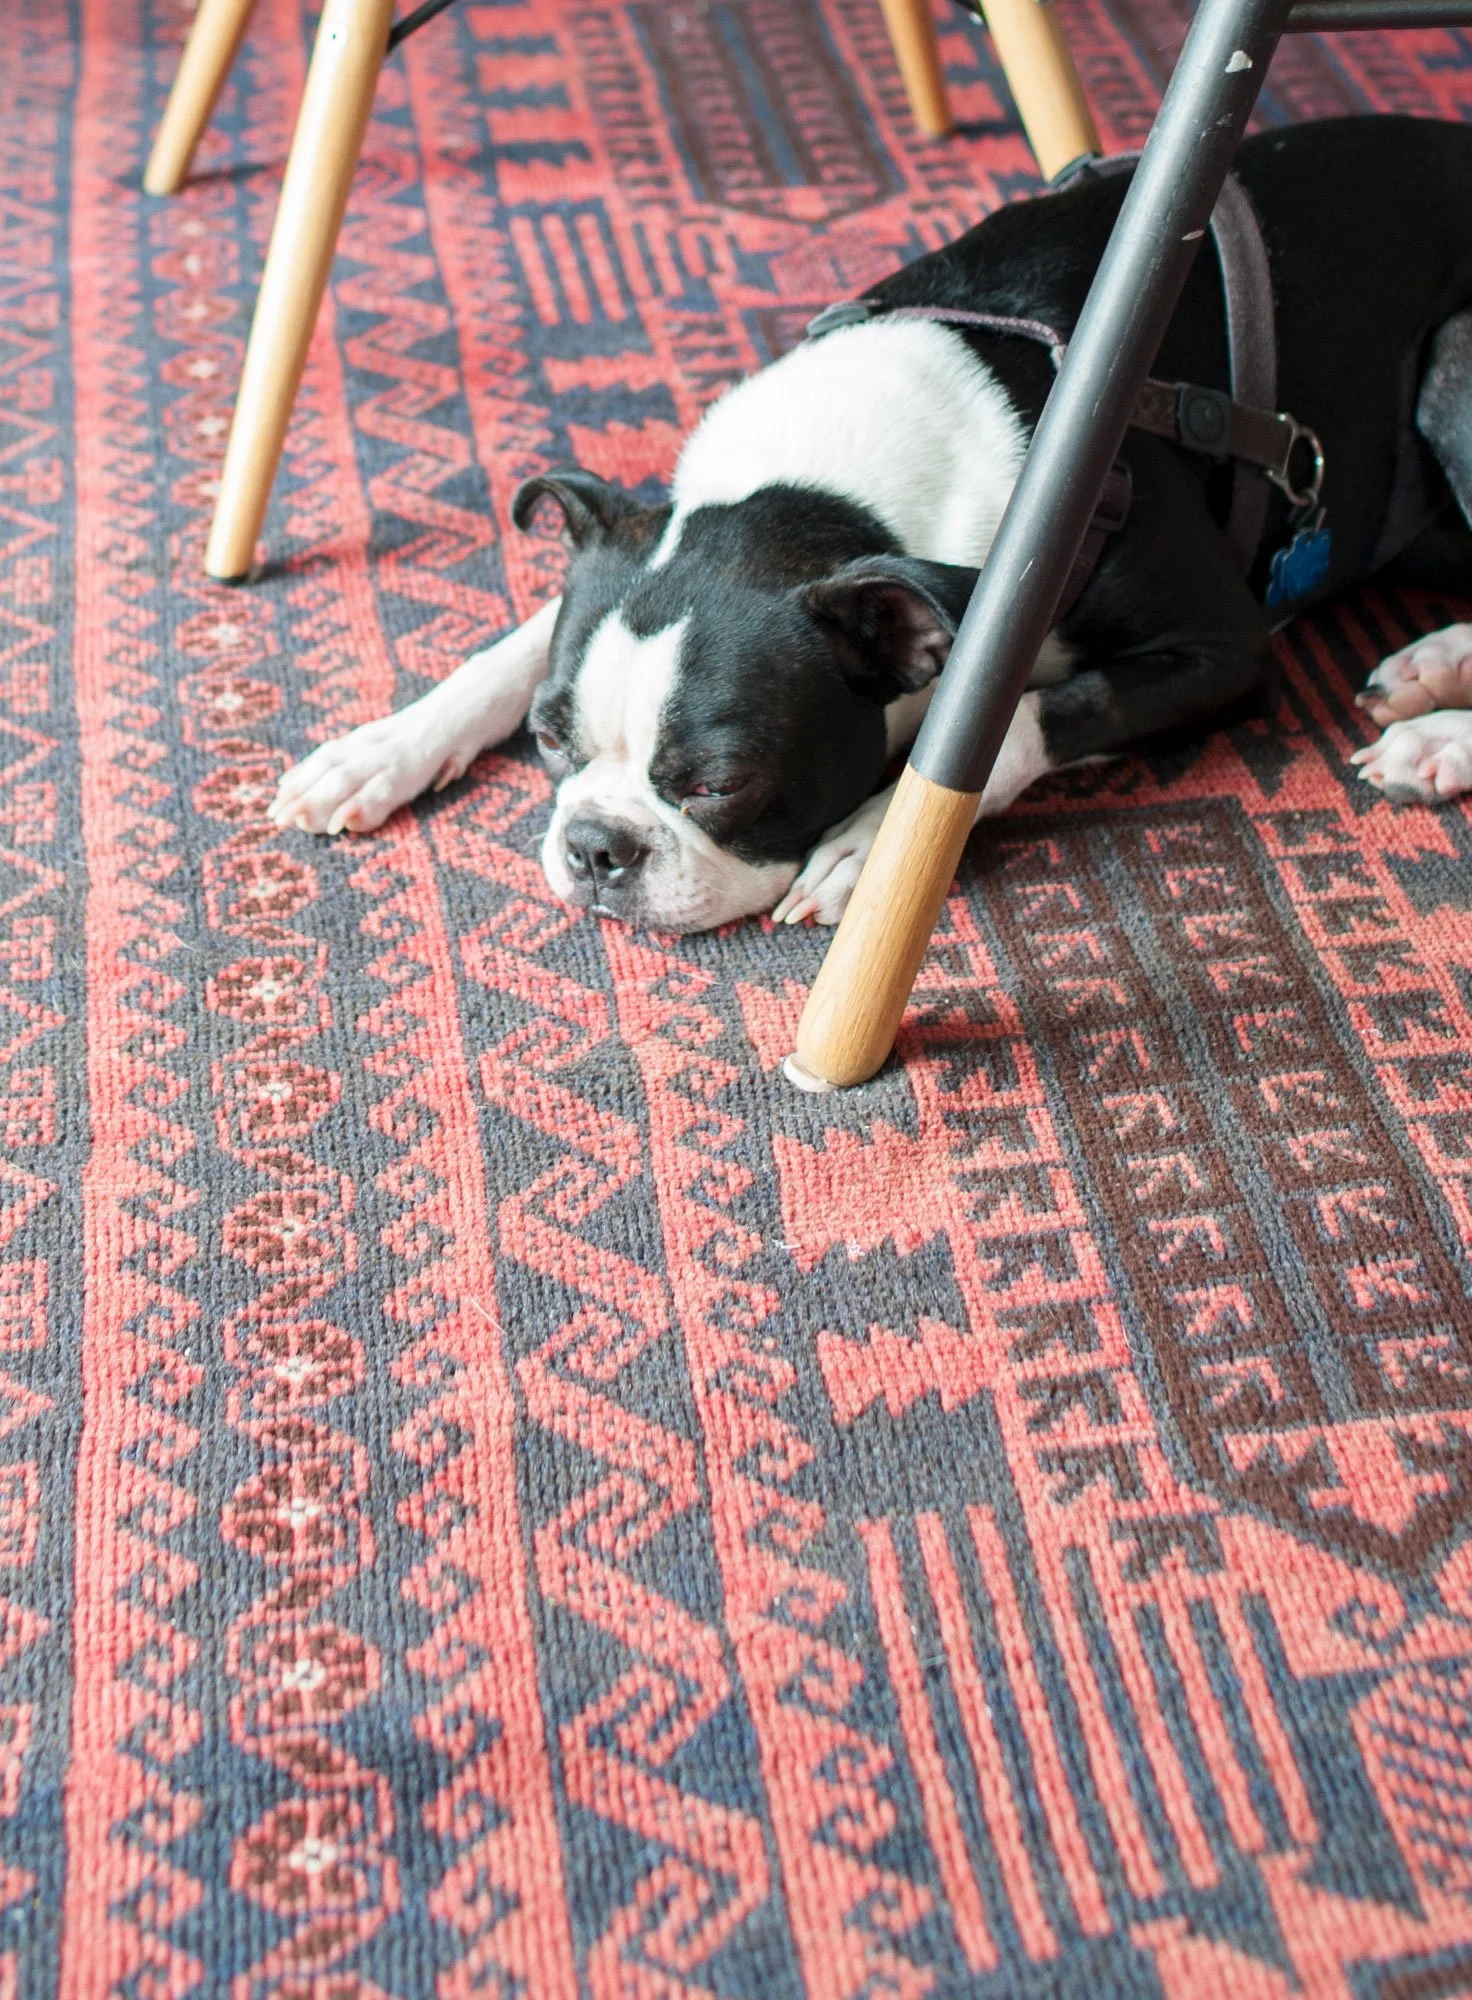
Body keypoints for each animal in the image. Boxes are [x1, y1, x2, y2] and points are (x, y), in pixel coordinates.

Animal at [269, 115, 1472, 933]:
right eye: (551, 740)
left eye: (720, 783)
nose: (595, 846)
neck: (830, 485)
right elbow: (516, 642)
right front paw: (379, 748)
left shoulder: (1223, 650)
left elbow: (1022, 713)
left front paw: (865, 844)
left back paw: (1436, 732)